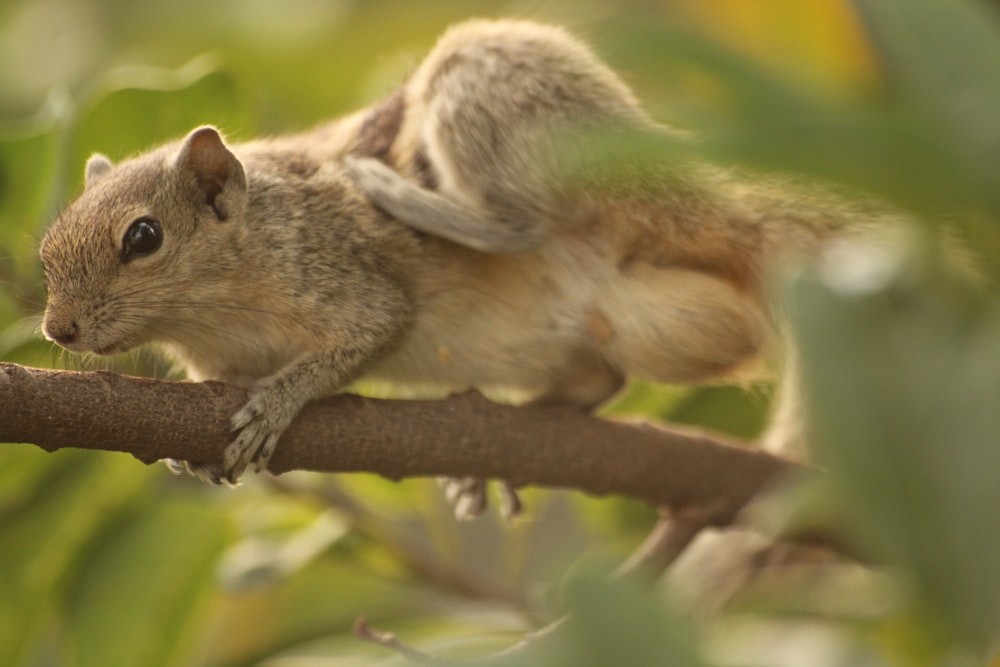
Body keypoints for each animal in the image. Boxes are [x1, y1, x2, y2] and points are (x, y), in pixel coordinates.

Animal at [39, 15, 872, 516]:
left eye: (143, 237)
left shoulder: (335, 264)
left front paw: (278, 401)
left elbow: (372, 328)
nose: (56, 330)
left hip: (491, 88)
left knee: (520, 223)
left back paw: (416, 199)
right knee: (599, 378)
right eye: (46, 250)